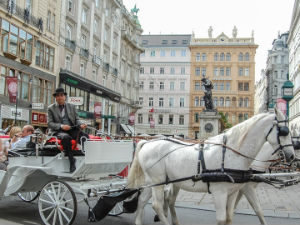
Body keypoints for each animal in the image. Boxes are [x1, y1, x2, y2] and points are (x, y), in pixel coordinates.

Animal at [127, 108, 294, 224]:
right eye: (284, 131)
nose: (292, 156)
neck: (231, 152)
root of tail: (147, 142)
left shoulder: (233, 192)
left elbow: (230, 217)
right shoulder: (219, 192)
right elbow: (221, 219)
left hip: (153, 182)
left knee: (143, 200)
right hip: (158, 182)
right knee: (157, 205)